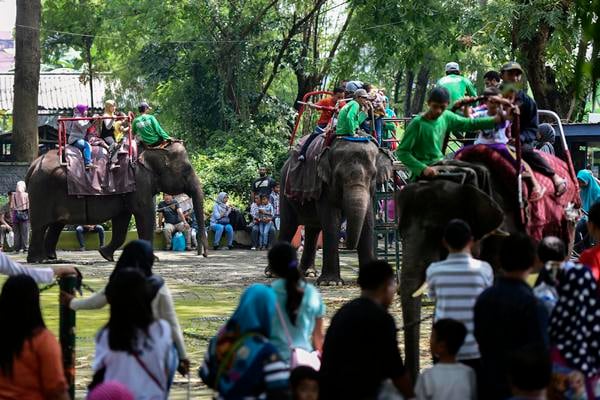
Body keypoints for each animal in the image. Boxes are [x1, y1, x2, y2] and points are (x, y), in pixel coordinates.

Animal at [25, 143, 209, 262]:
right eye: (186, 169)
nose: (204, 254)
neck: (154, 149)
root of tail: (32, 166)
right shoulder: (139, 183)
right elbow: (145, 215)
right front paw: (154, 259)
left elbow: (122, 220)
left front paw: (105, 255)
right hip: (42, 192)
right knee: (40, 226)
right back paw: (37, 260)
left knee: (56, 225)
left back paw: (51, 258)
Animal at [280, 138, 396, 284]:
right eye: (339, 176)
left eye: (373, 175)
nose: (347, 245)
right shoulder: (324, 185)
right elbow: (331, 221)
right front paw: (330, 282)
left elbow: (368, 220)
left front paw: (372, 279)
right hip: (284, 189)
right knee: (288, 226)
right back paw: (272, 273)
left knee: (313, 230)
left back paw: (309, 273)